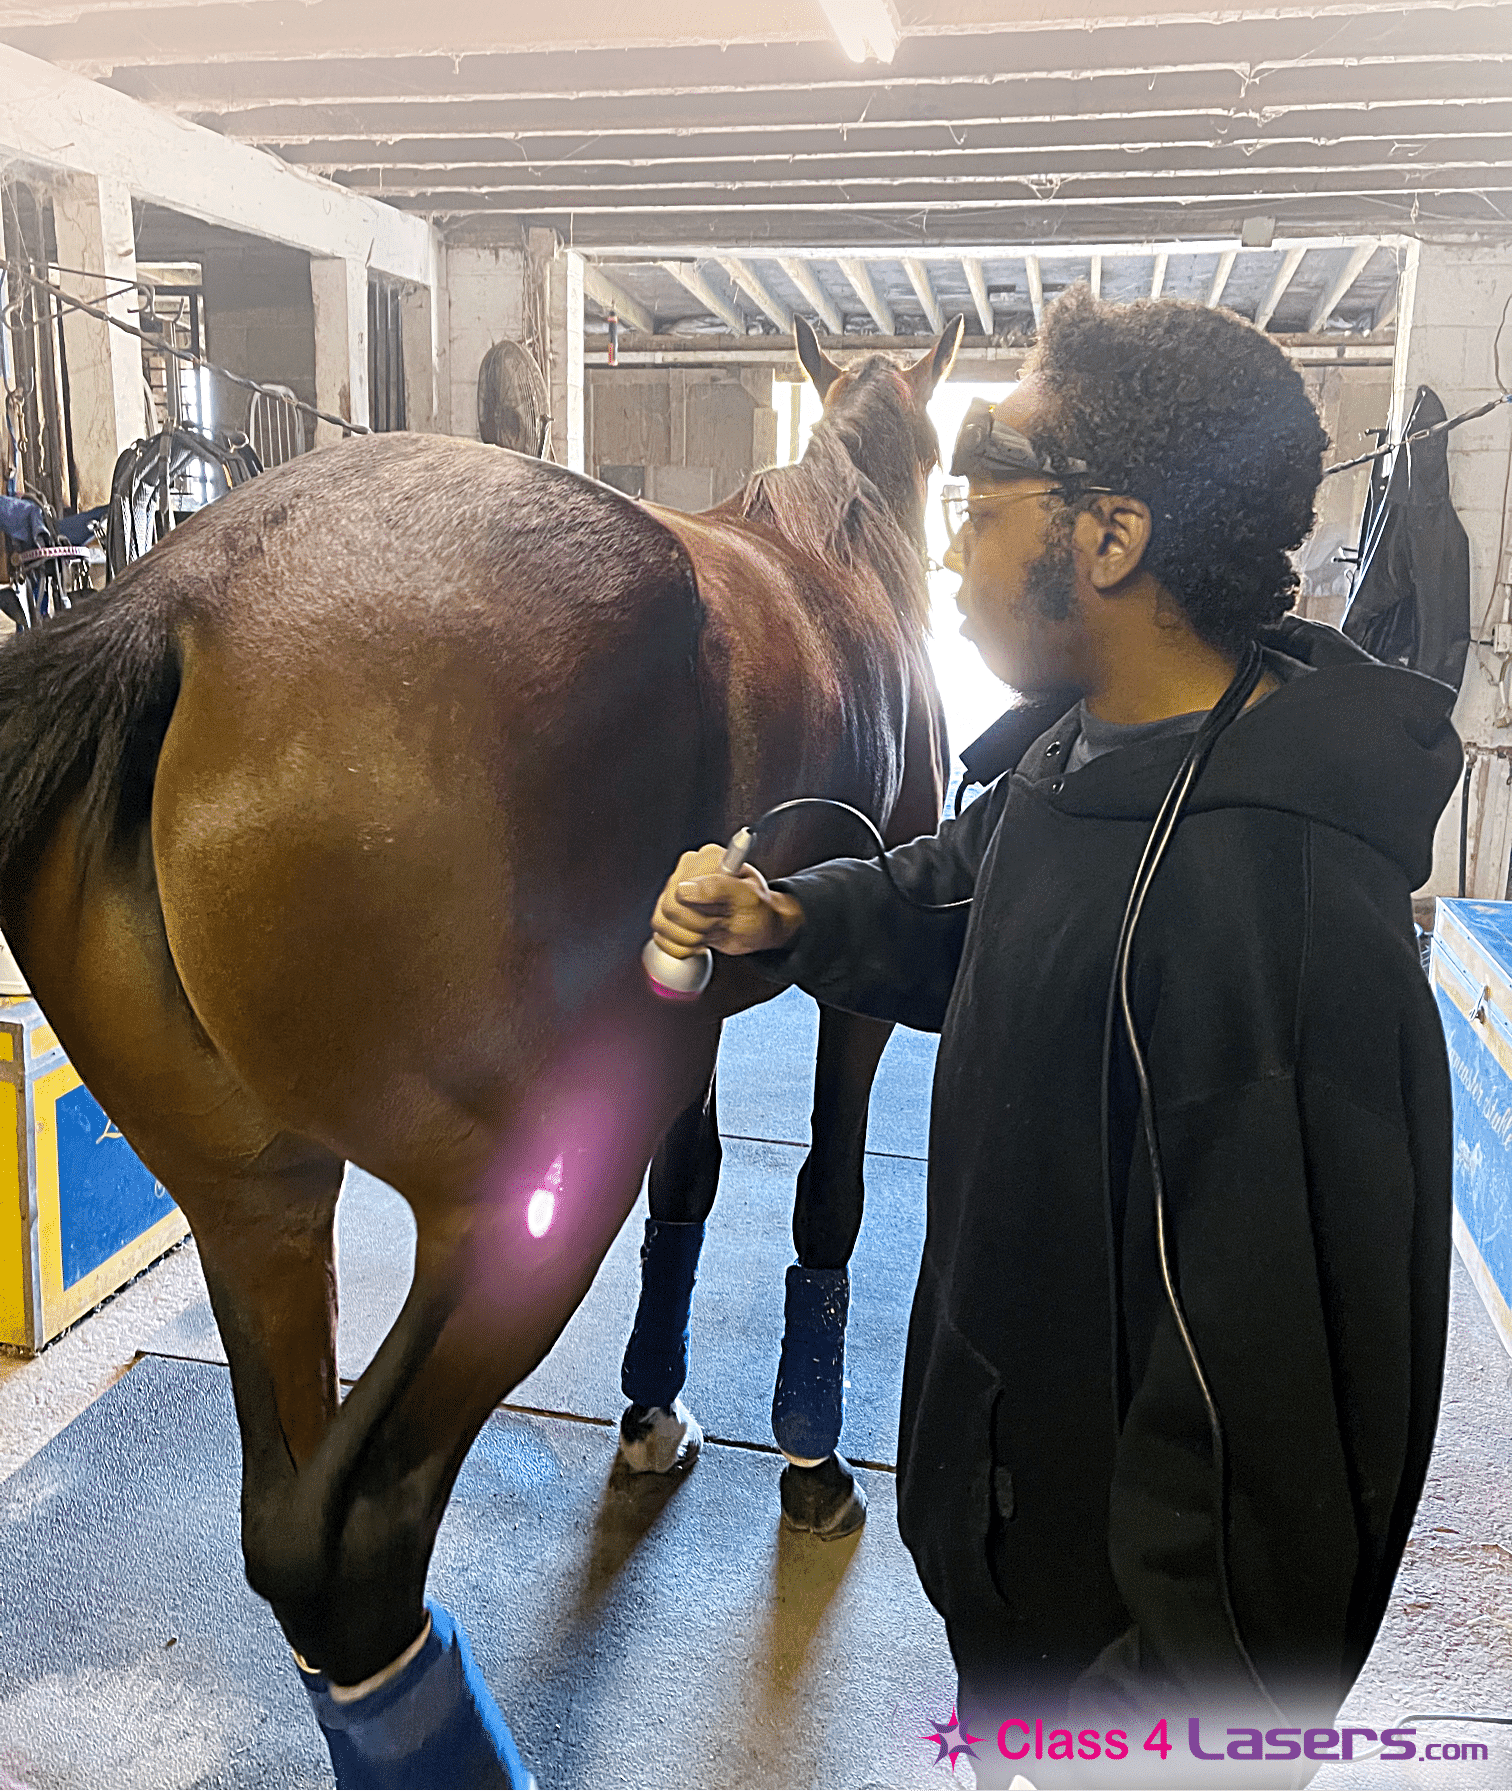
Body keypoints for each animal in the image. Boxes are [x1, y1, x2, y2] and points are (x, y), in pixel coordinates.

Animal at [0, 313, 959, 1790]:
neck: (837, 546)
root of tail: (176, 603)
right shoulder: (847, 1001)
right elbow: (828, 1197)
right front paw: (809, 1463)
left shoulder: (693, 1014)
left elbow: (694, 1187)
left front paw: (651, 1414)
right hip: (516, 1204)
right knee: (361, 1533)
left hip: (257, 1207)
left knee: (284, 1524)